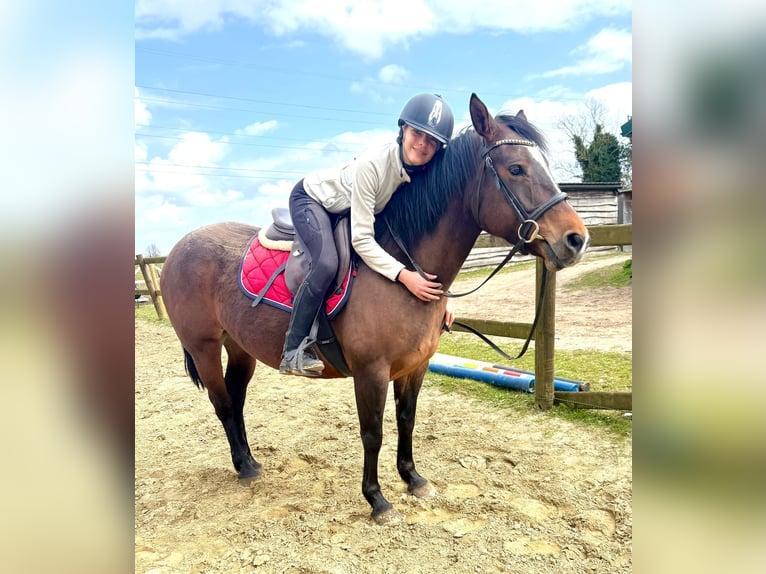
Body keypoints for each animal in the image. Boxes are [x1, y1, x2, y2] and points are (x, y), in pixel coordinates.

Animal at [159, 93, 589, 524]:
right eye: (516, 168)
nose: (576, 239)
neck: (402, 268)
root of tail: (178, 247)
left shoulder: (414, 367)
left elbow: (407, 421)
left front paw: (413, 479)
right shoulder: (371, 372)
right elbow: (373, 433)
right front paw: (377, 500)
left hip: (239, 347)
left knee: (237, 400)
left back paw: (247, 462)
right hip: (203, 346)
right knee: (223, 404)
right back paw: (245, 469)